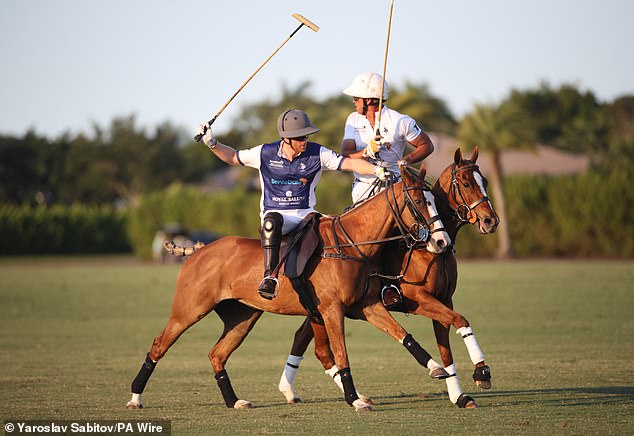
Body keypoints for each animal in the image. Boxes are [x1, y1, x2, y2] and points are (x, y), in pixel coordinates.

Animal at [124, 165, 450, 410]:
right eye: (419, 201)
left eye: (434, 200)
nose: (441, 241)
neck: (351, 243)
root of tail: (199, 249)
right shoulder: (332, 310)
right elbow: (341, 354)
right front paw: (355, 400)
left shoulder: (367, 306)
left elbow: (403, 335)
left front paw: (437, 368)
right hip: (188, 310)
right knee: (159, 345)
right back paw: (135, 397)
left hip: (242, 317)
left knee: (217, 353)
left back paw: (234, 401)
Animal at [276, 147, 498, 408]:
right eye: (465, 183)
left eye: (484, 181)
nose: (491, 221)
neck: (427, 249)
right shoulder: (418, 299)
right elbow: (461, 320)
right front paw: (481, 372)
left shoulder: (444, 299)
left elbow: (447, 346)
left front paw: (460, 395)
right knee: (314, 344)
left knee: (304, 338)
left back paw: (290, 390)